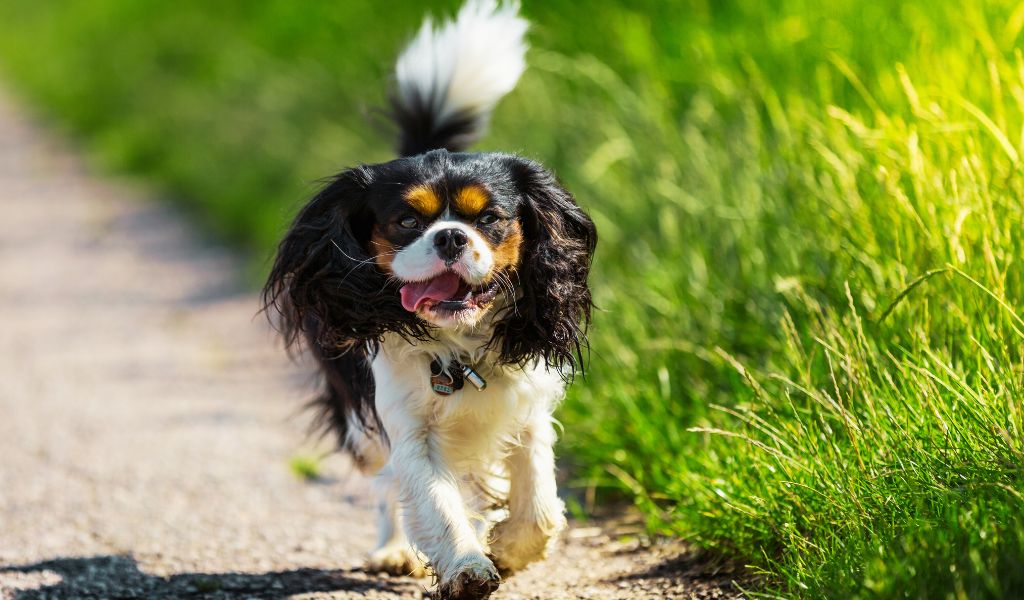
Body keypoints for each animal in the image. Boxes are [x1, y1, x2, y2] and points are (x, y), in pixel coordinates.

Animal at [264, 2, 598, 593]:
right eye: (405, 222)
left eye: (490, 219)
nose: (450, 237)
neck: (460, 345)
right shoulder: (405, 425)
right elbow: (435, 501)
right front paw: (467, 566)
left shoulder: (528, 408)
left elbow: (538, 503)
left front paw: (509, 549)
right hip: (362, 426)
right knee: (385, 485)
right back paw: (395, 551)